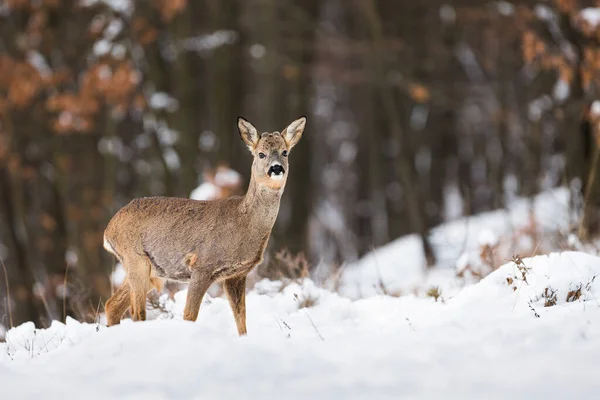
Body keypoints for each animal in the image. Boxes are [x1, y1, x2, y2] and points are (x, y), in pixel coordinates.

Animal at [103, 115, 308, 334]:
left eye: (285, 152)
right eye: (261, 154)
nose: (276, 168)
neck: (243, 224)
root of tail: (108, 230)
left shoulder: (236, 275)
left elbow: (241, 320)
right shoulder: (202, 265)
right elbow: (189, 315)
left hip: (150, 270)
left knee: (112, 305)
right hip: (135, 259)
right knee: (136, 312)